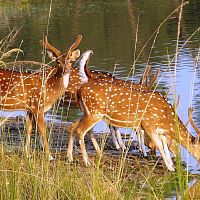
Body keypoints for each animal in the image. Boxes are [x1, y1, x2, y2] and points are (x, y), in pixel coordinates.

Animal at [67, 50, 200, 171]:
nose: (179, 157)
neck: (167, 119)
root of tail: (80, 88)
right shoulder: (148, 125)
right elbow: (160, 147)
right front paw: (170, 168)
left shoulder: (159, 130)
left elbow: (164, 146)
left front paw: (171, 165)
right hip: (94, 113)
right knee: (80, 131)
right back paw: (86, 162)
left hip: (88, 113)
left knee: (74, 127)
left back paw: (72, 158)